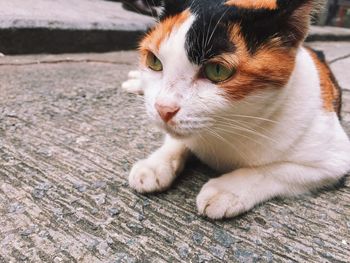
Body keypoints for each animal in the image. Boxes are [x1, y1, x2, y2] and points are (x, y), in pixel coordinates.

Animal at [121, 0, 350, 221]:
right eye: (154, 61)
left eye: (217, 70)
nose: (163, 109)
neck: (228, 130)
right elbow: (177, 141)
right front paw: (155, 164)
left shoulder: (334, 158)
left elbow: (272, 171)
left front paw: (226, 190)